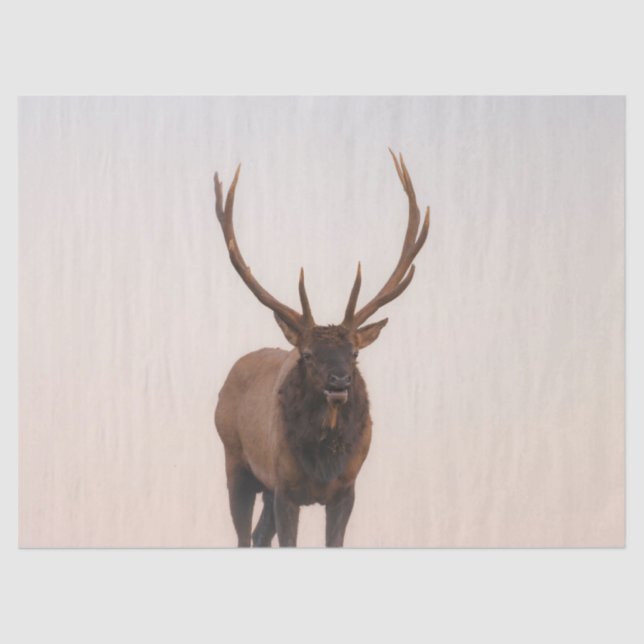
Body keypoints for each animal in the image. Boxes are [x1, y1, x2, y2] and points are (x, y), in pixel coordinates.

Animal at [214, 150, 430, 547]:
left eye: (355, 354)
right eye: (308, 355)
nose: (339, 381)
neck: (322, 466)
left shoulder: (347, 489)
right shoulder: (284, 486)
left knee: (259, 536)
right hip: (236, 461)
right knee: (244, 536)